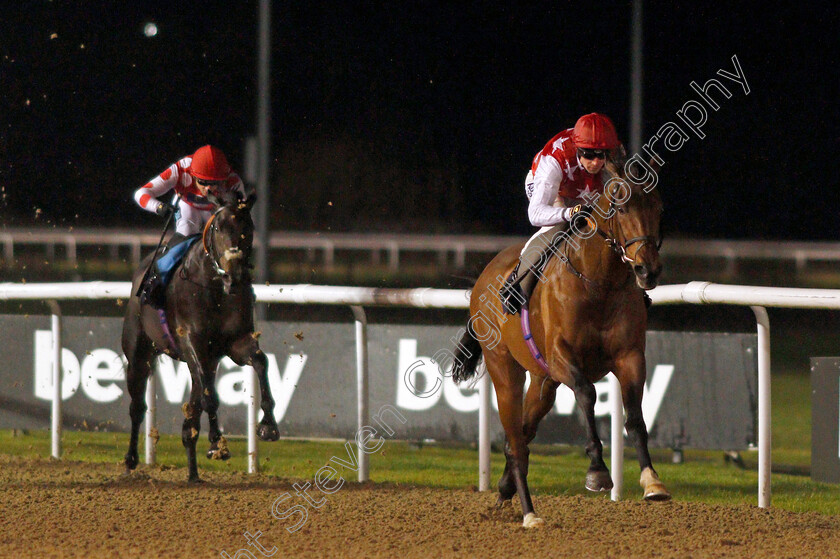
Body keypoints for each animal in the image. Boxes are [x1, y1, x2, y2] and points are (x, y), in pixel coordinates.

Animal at [121, 197, 280, 482]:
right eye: (218, 227)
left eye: (248, 227)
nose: (234, 275)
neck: (214, 287)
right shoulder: (191, 341)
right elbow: (210, 397)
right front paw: (217, 443)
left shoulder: (236, 342)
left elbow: (261, 361)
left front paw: (268, 426)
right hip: (138, 353)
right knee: (137, 407)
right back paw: (130, 461)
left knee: (190, 421)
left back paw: (193, 473)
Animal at [452, 155, 668, 528]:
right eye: (622, 207)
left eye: (658, 206)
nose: (647, 270)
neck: (599, 284)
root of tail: (483, 279)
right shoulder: (561, 357)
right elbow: (587, 393)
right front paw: (597, 470)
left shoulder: (629, 356)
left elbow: (636, 416)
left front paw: (651, 481)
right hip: (505, 370)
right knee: (516, 441)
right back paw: (529, 513)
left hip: (543, 383)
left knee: (523, 435)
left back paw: (505, 491)